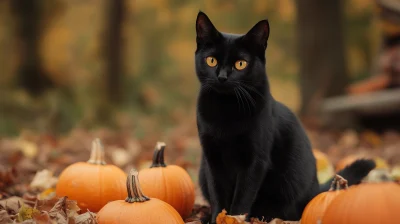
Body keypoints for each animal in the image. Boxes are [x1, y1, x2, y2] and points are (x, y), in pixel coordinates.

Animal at [194, 11, 376, 223]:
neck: (226, 110)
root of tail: (316, 189)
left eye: (240, 64)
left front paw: (234, 218)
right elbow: (218, 195)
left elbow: (242, 197)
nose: (222, 77)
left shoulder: (255, 160)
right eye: (211, 61)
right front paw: (218, 218)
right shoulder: (212, 158)